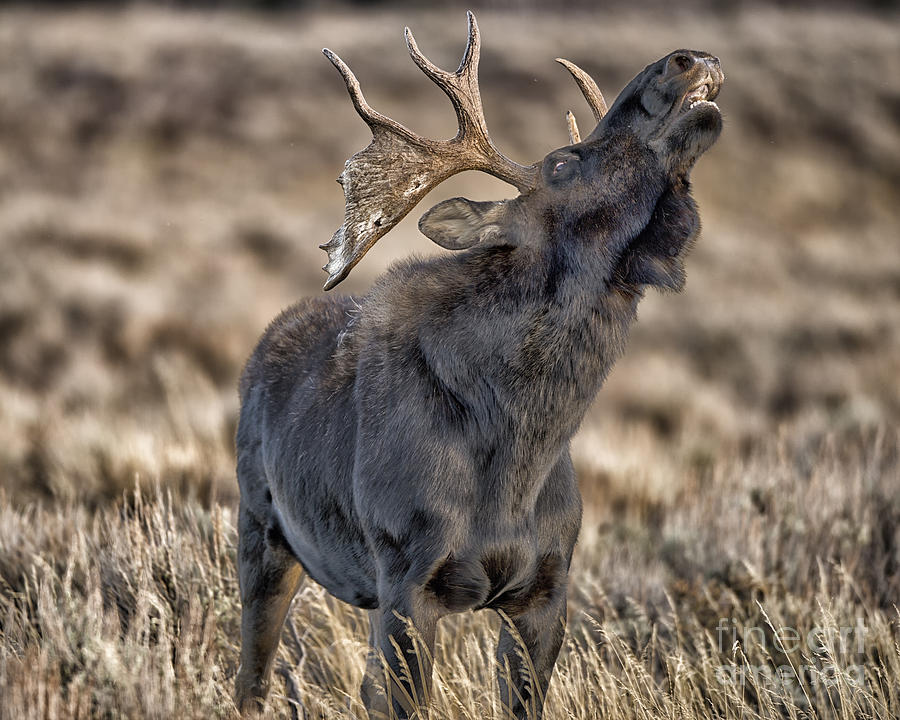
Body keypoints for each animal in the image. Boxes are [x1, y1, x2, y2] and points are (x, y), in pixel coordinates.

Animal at [234, 12, 723, 719]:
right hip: (261, 532)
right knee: (251, 676)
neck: (521, 449)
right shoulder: (408, 585)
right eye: (562, 162)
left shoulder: (546, 590)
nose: (687, 59)